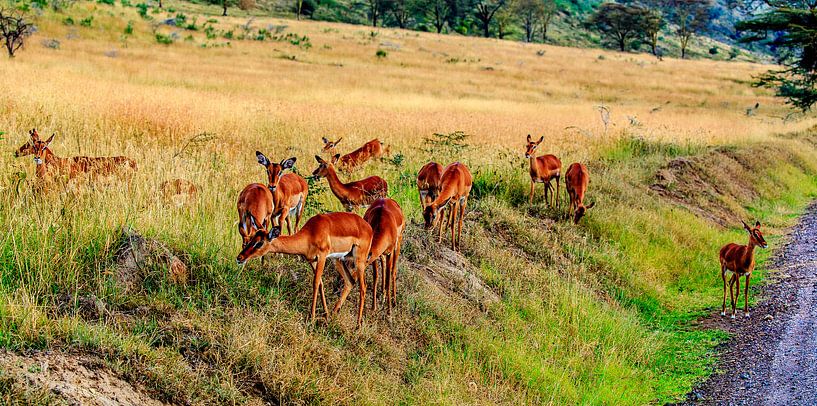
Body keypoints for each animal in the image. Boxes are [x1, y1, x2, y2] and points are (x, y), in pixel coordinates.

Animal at [236, 211, 372, 326]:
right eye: (252, 239)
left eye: (259, 243)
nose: (239, 257)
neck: (311, 233)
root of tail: (367, 227)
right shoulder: (312, 260)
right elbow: (321, 284)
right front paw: (325, 314)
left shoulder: (322, 257)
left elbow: (315, 283)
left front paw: (311, 318)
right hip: (338, 259)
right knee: (350, 281)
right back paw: (333, 314)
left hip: (359, 260)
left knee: (363, 287)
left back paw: (358, 325)